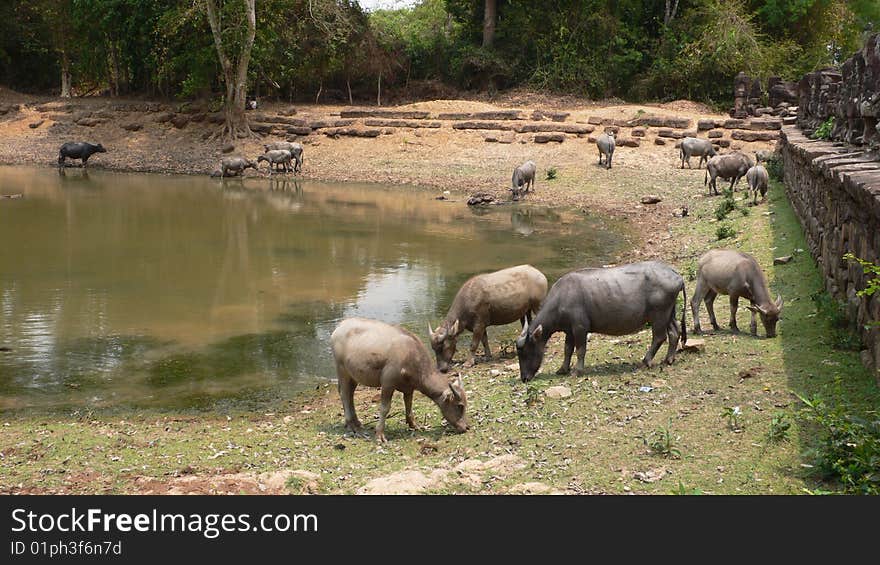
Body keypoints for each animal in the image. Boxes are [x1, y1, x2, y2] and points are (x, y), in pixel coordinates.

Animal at [330, 318, 468, 440]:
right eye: (460, 406)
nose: (466, 427)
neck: (411, 355)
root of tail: (339, 327)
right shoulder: (387, 383)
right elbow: (385, 408)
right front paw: (380, 434)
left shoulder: (409, 388)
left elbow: (409, 404)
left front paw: (414, 425)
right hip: (342, 369)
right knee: (344, 394)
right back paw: (352, 425)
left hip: (353, 375)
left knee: (350, 394)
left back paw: (356, 422)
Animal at [516, 262, 688, 382]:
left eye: (525, 352)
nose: (524, 378)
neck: (561, 299)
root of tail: (677, 276)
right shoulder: (569, 330)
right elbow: (567, 349)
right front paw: (563, 369)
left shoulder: (580, 328)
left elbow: (580, 350)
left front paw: (577, 371)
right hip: (669, 313)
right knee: (674, 332)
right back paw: (669, 359)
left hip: (658, 314)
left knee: (659, 337)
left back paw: (646, 361)